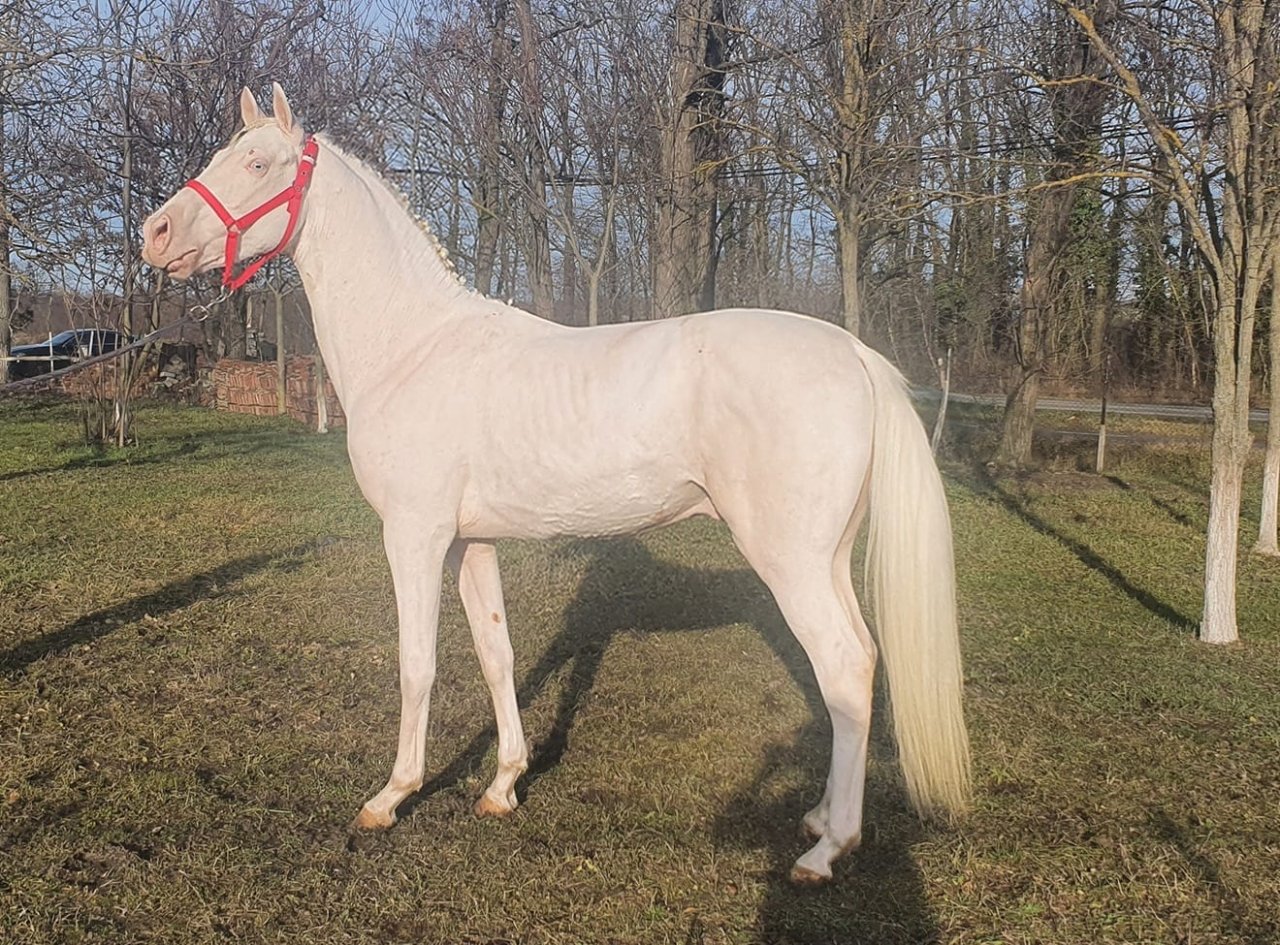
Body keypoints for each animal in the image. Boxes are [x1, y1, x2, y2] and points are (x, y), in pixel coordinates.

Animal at [141, 84, 970, 884]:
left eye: (257, 163)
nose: (155, 233)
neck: (414, 346)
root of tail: (854, 353)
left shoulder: (413, 535)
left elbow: (418, 664)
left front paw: (389, 797)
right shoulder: (469, 543)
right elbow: (497, 653)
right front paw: (504, 784)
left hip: (791, 560)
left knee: (844, 666)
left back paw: (826, 852)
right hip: (827, 558)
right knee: (856, 669)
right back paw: (819, 819)